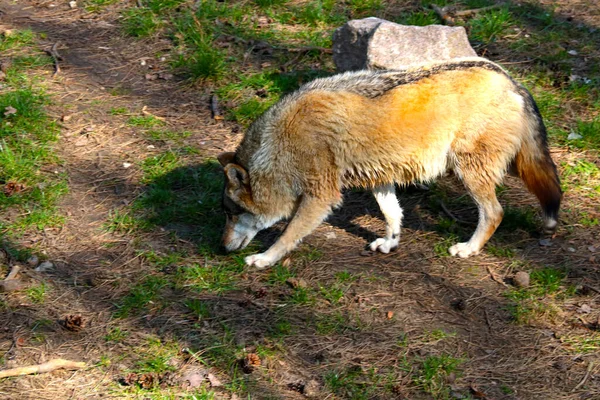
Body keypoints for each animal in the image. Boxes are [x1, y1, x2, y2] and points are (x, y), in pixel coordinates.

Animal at [217, 57, 564, 268]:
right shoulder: (379, 178)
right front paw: (390, 242)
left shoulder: (321, 196)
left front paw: (265, 259)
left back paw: (468, 248)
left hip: (469, 172)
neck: (281, 140)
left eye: (232, 213)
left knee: (495, 212)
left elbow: (287, 234)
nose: (220, 248)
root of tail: (511, 80)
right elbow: (392, 214)